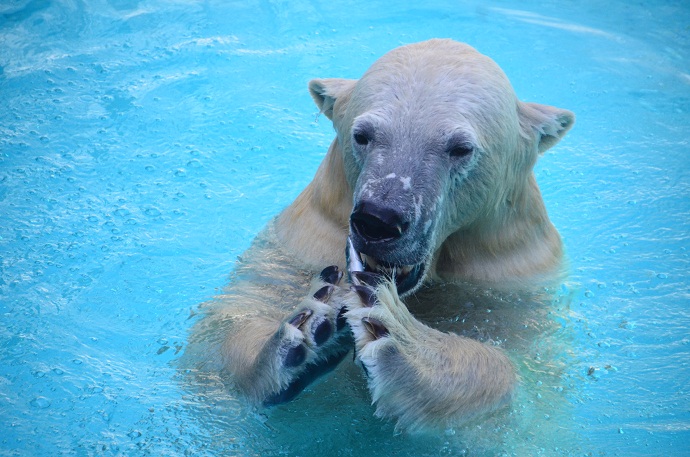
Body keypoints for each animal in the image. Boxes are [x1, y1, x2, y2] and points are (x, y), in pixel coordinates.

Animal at [191, 39, 572, 432]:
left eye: (461, 148)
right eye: (363, 135)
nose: (378, 220)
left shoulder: (510, 283)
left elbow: (531, 392)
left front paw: (398, 335)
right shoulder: (301, 243)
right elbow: (220, 330)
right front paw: (311, 323)